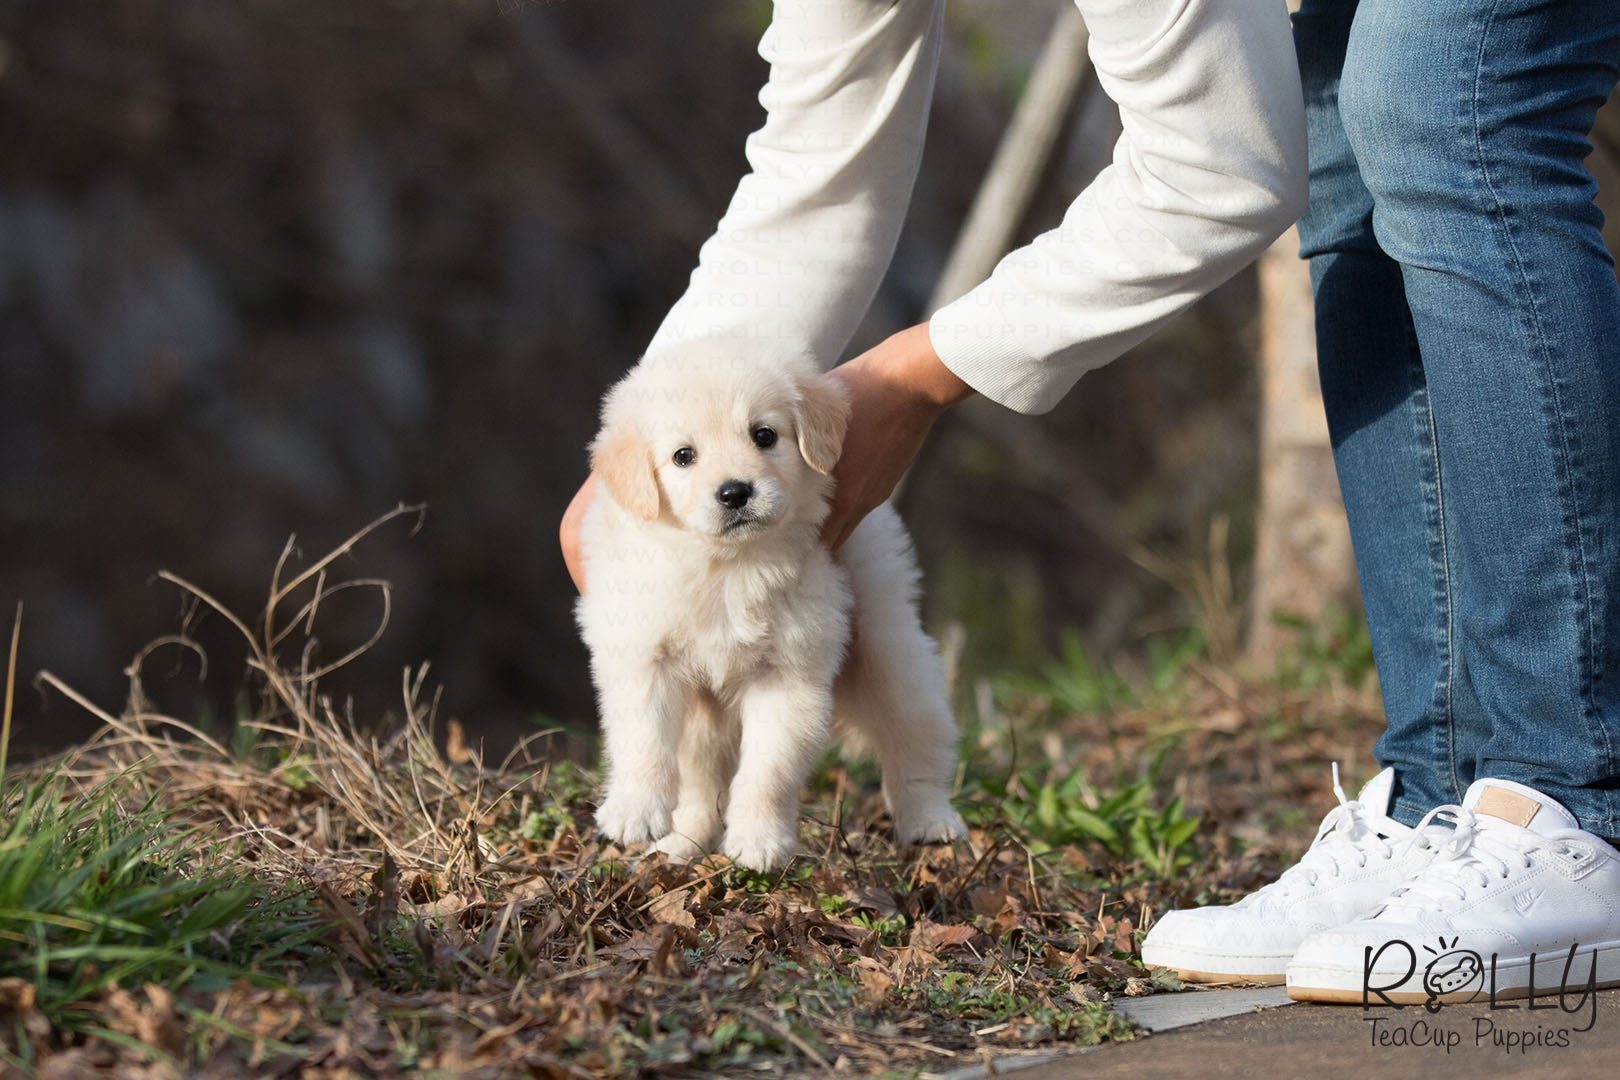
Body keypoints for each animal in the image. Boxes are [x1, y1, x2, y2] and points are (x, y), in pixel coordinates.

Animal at [576, 340, 965, 867]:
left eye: (763, 435)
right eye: (683, 456)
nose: (735, 492)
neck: (726, 567)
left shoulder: (788, 676)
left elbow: (767, 772)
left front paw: (759, 843)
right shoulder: (641, 656)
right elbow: (642, 741)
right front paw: (632, 812)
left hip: (888, 648)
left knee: (918, 737)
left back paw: (931, 820)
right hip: (704, 719)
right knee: (700, 786)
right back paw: (682, 844)